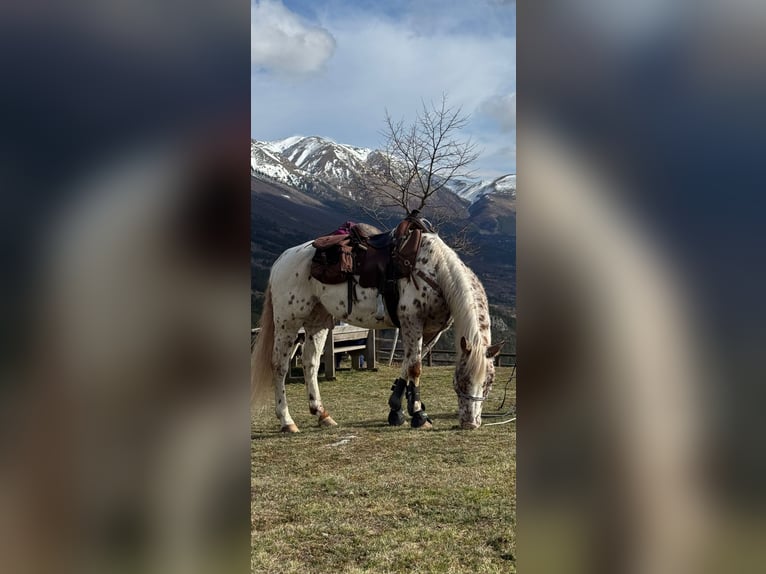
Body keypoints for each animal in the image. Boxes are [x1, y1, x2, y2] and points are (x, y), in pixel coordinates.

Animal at [251, 228, 503, 432]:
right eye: (461, 381)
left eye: (489, 383)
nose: (470, 423)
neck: (436, 270)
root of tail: (282, 260)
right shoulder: (412, 322)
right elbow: (415, 367)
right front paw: (418, 415)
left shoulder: (432, 331)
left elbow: (408, 363)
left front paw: (397, 409)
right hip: (288, 321)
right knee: (280, 366)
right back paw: (287, 421)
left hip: (318, 320)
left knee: (310, 363)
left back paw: (322, 414)